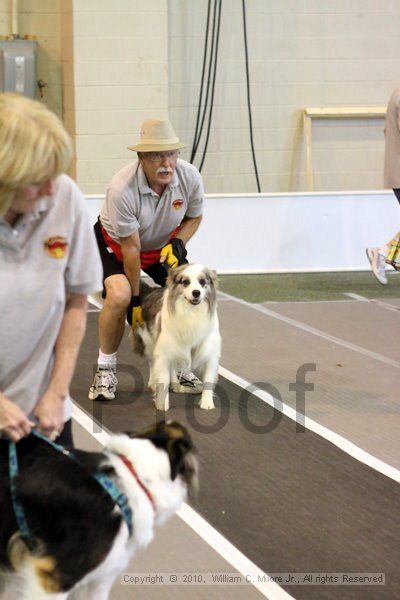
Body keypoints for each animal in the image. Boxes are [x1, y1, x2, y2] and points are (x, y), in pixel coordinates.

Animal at [134, 264, 222, 412]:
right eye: (185, 282)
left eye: (202, 282)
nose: (196, 293)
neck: (192, 313)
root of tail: (151, 291)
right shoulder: (164, 350)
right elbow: (163, 378)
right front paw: (163, 403)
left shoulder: (210, 351)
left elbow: (209, 379)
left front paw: (207, 402)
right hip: (150, 342)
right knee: (152, 362)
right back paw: (153, 382)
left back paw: (175, 384)